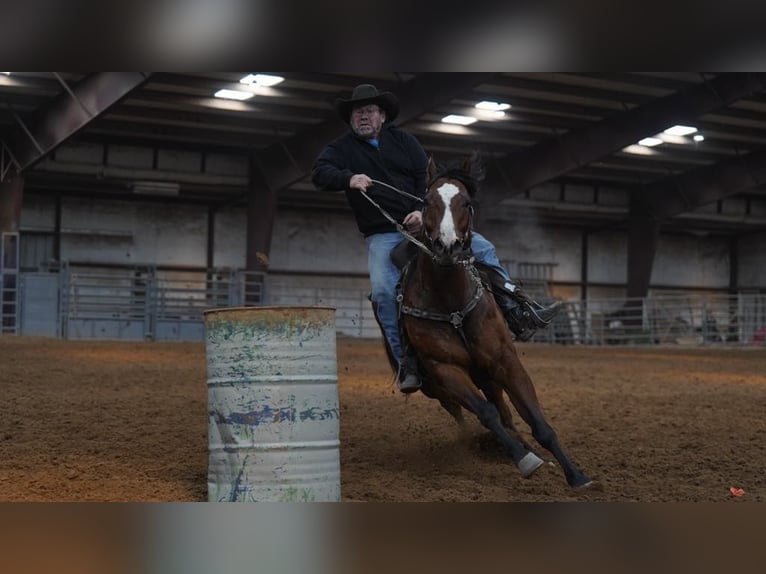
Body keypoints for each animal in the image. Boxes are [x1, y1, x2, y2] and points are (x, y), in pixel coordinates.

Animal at [399, 154, 592, 488]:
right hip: (440, 388)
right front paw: (524, 460)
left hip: (487, 375)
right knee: (476, 414)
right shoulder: (446, 369)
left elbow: (538, 422)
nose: (447, 247)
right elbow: (486, 414)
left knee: (506, 414)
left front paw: (576, 475)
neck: (451, 302)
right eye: (426, 201)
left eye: (467, 202)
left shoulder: (505, 360)